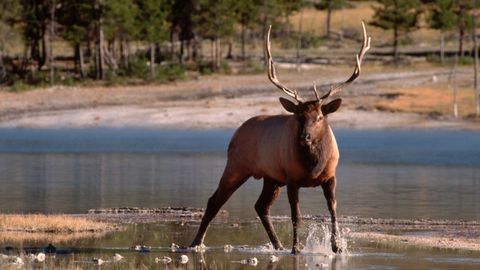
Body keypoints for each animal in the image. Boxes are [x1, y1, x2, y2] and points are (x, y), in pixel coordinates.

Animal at [189, 22, 370, 253]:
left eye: (319, 117)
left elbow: (333, 211)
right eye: (298, 116)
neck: (314, 165)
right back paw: (196, 243)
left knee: (260, 206)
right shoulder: (292, 178)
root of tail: (236, 133)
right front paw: (297, 248)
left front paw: (336, 246)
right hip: (237, 166)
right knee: (215, 200)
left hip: (271, 178)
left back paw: (277, 244)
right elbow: (296, 216)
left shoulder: (330, 177)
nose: (304, 136)